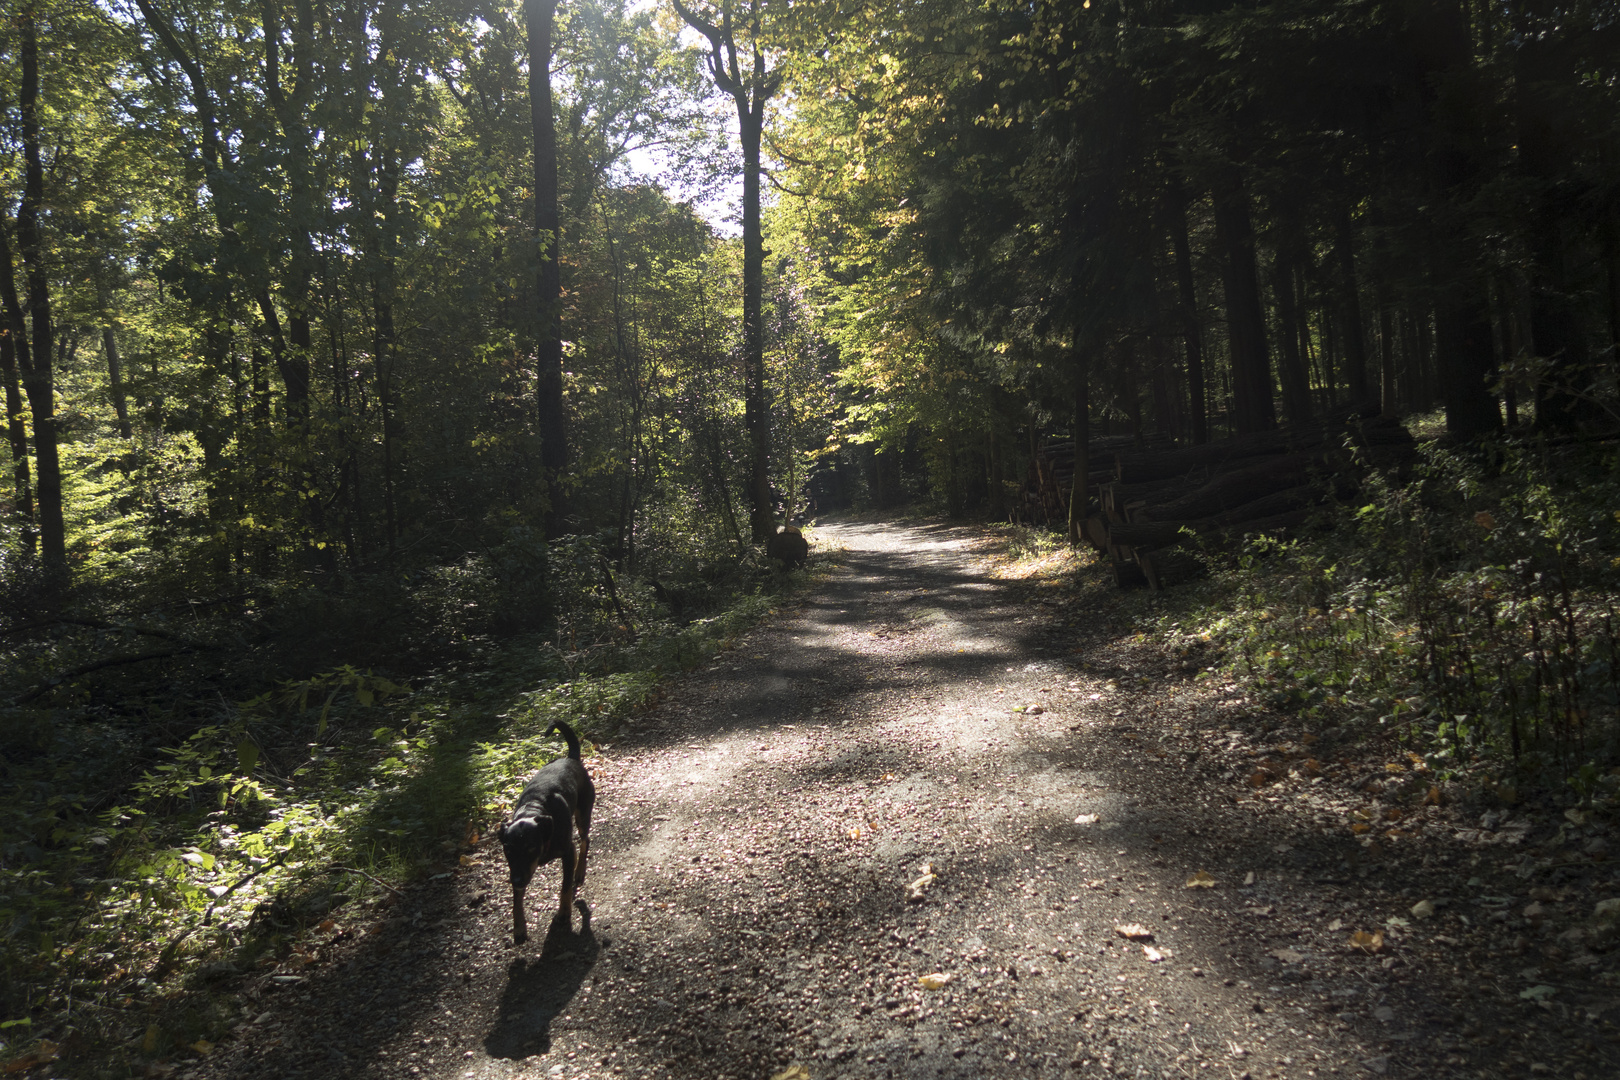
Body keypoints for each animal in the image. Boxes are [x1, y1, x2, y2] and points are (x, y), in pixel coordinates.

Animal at [498, 722, 596, 939]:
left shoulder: (567, 853)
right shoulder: (517, 868)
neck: (534, 809)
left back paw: (580, 871)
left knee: (585, 840)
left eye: (530, 848)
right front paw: (519, 927)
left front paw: (564, 913)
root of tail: (571, 758)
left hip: (582, 815)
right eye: (508, 850)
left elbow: (565, 887)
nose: (516, 880)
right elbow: (516, 900)